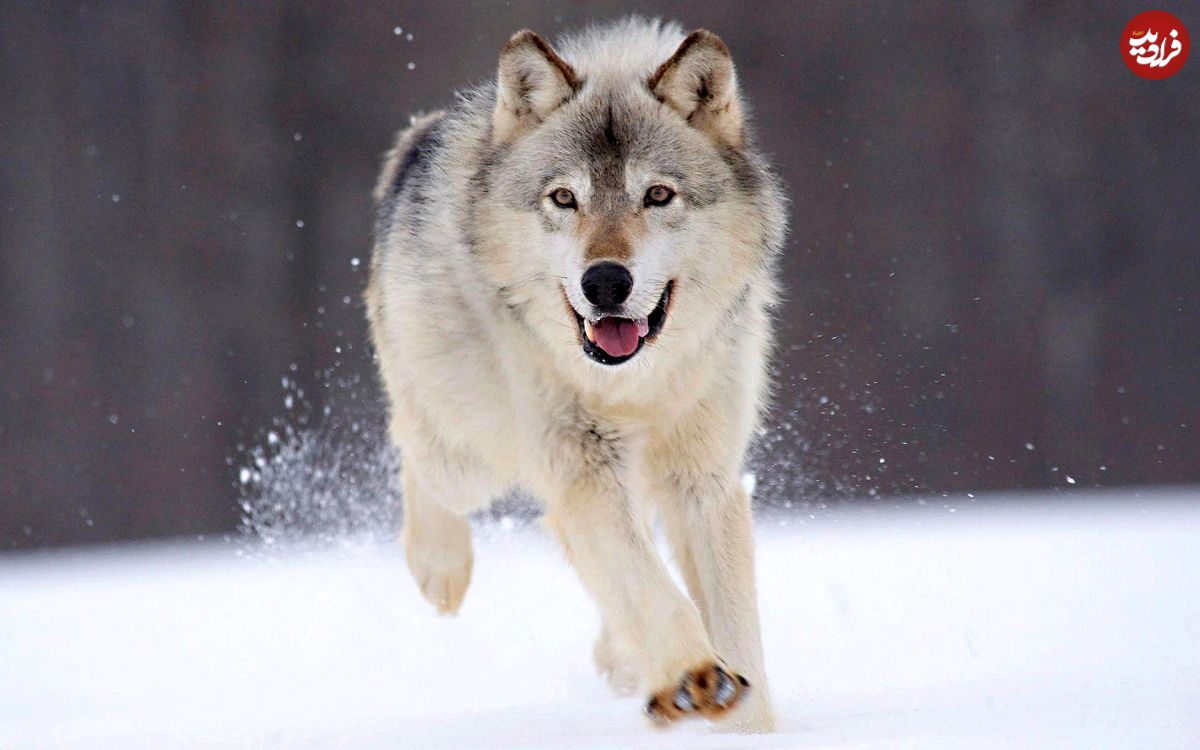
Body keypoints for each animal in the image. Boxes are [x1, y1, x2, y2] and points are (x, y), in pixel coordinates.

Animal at [364, 17, 787, 729]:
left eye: (658, 195)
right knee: (416, 451)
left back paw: (623, 662)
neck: (634, 386)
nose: (606, 282)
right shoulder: (583, 467)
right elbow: (651, 588)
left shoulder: (704, 481)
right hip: (470, 455)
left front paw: (744, 721)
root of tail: (419, 139)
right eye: (564, 198)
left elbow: (736, 629)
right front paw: (693, 675)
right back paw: (440, 569)